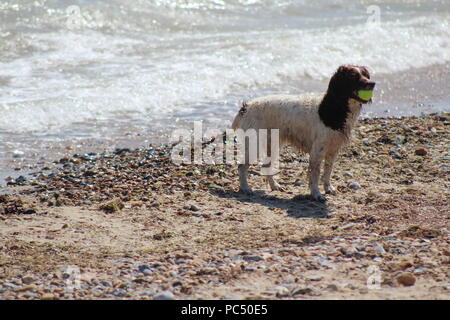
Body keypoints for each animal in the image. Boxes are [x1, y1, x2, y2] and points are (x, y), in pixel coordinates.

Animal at [232, 63, 376, 201]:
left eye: (366, 75)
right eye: (353, 76)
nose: (372, 83)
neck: (332, 108)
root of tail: (246, 107)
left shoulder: (333, 149)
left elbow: (328, 170)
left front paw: (328, 188)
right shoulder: (317, 150)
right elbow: (315, 174)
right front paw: (316, 194)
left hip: (272, 145)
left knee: (266, 166)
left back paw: (274, 186)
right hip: (255, 144)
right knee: (241, 166)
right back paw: (245, 188)